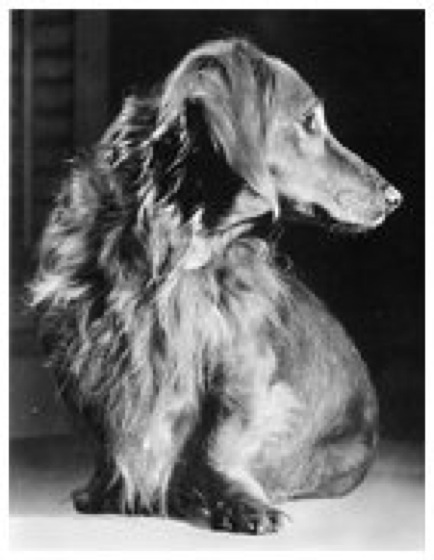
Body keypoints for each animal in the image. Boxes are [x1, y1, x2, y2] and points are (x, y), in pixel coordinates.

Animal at [30, 38, 402, 534]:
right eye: (309, 121)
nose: (395, 197)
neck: (173, 247)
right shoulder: (86, 347)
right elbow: (107, 432)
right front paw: (105, 491)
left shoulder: (239, 359)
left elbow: (219, 443)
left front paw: (239, 503)